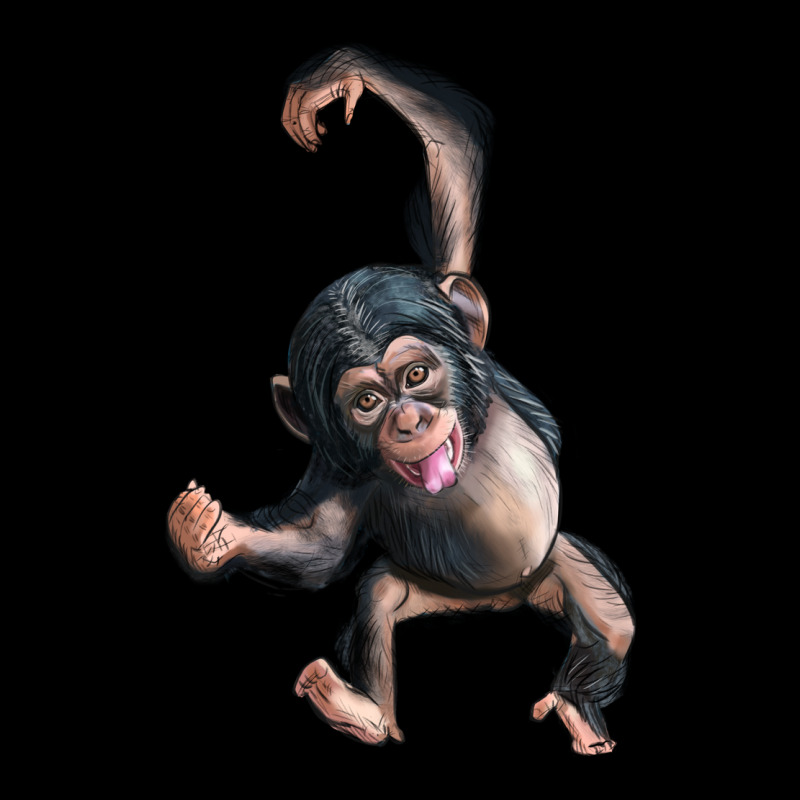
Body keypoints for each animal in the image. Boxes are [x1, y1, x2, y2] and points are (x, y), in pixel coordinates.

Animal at [167, 46, 634, 755]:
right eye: (366, 403)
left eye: (415, 375)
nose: (409, 420)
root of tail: (502, 600)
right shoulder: (341, 474)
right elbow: (324, 546)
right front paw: (209, 536)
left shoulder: (447, 302)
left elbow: (452, 186)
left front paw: (343, 79)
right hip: (432, 591)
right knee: (378, 596)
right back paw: (362, 712)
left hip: (555, 568)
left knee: (611, 622)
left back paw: (578, 703)